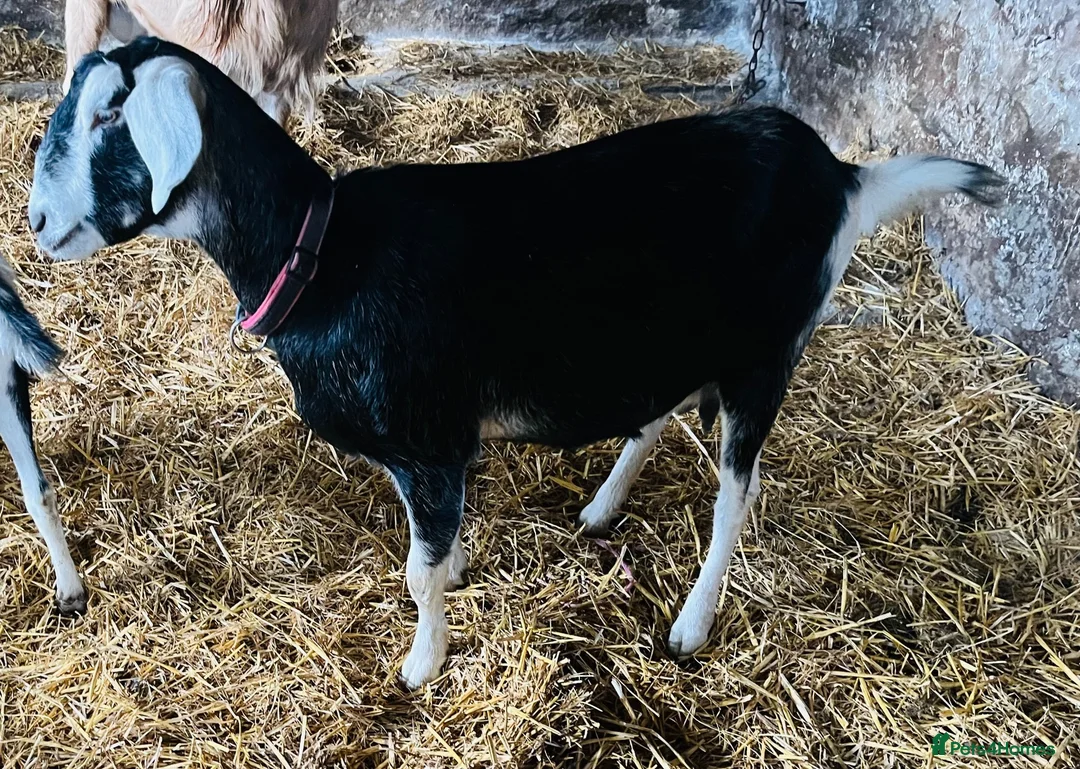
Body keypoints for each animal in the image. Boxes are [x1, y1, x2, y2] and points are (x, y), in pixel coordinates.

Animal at [29, 38, 1005, 687]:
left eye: (110, 114)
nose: (36, 222)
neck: (322, 255)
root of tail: (844, 177)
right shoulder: (426, 455)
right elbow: (430, 541)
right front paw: (456, 573)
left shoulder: (427, 439)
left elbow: (417, 569)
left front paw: (421, 663)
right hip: (671, 338)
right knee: (653, 413)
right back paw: (602, 508)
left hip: (766, 354)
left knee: (738, 490)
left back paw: (691, 623)